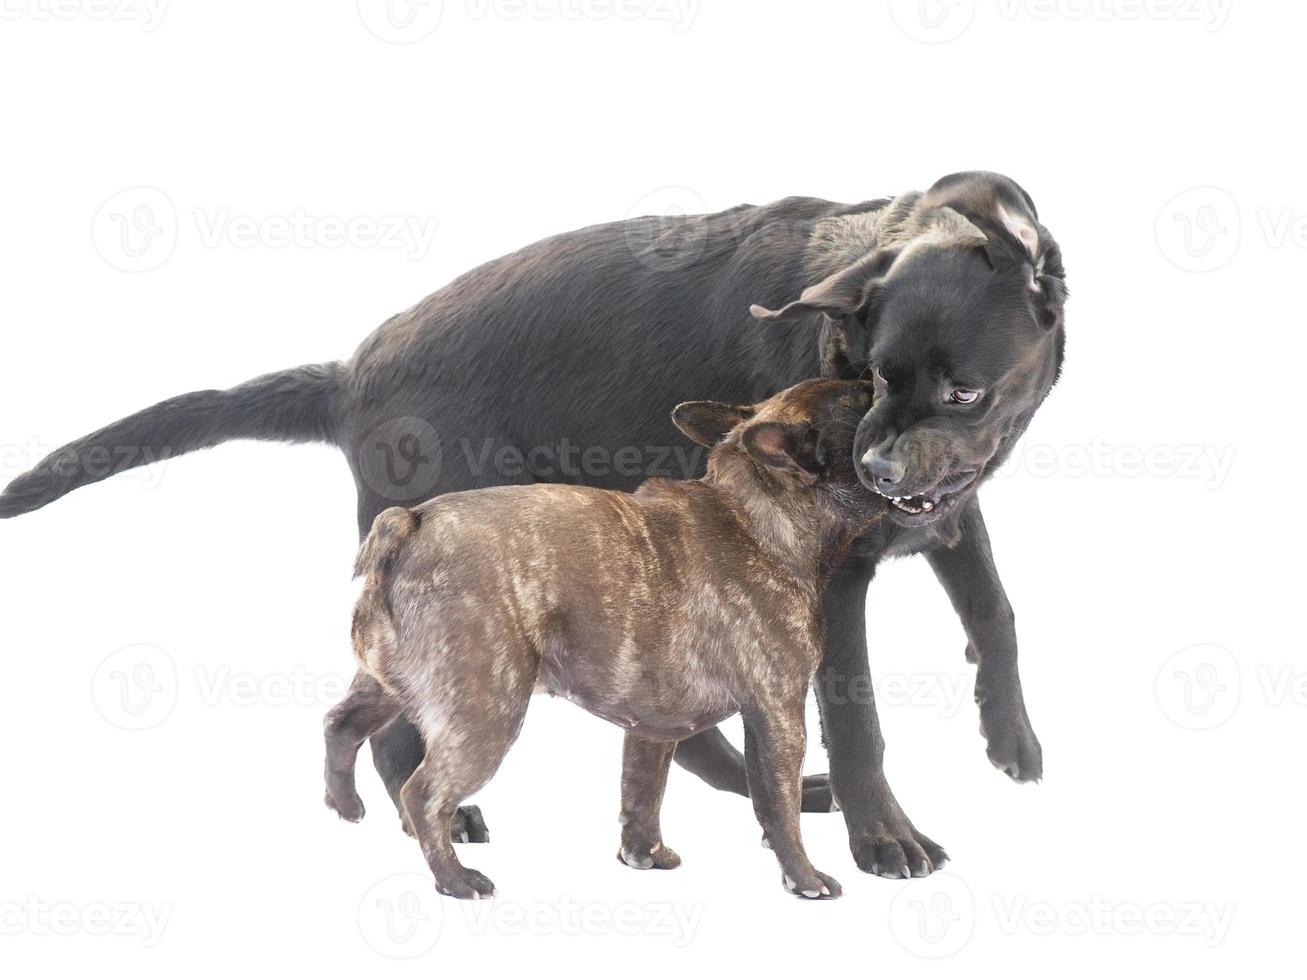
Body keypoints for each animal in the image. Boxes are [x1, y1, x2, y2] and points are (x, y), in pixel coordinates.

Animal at [321, 378, 883, 904]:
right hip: (486, 709)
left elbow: (642, 789)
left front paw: (644, 854)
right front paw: (805, 879)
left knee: (341, 724)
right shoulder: (777, 711)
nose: (880, 378)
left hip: (386, 680)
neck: (758, 513)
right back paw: (457, 880)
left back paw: (345, 806)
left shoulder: (654, 725)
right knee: (424, 794)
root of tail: (410, 524)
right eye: (866, 399)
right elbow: (778, 804)